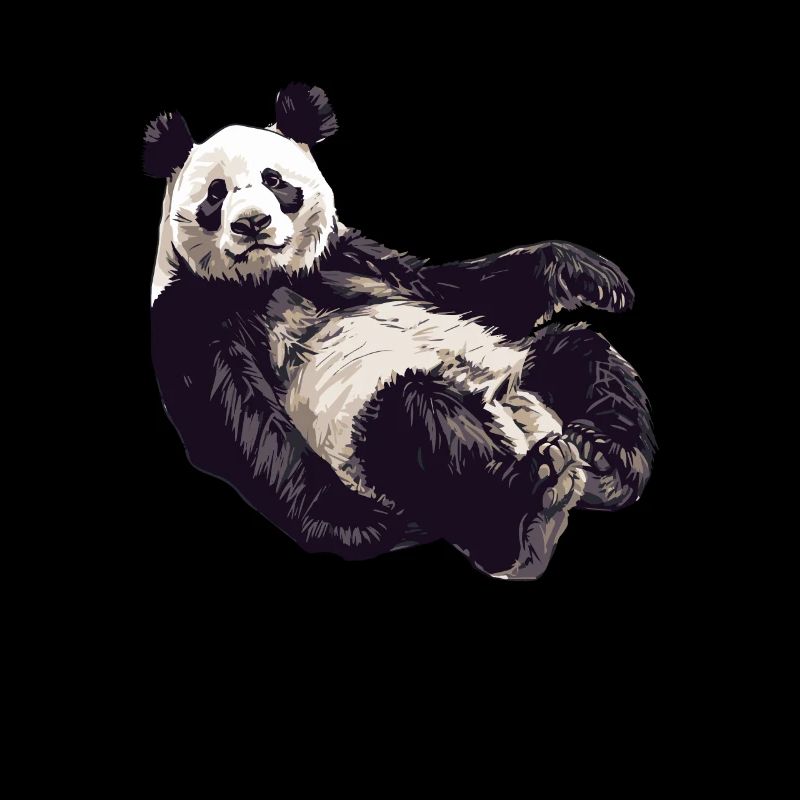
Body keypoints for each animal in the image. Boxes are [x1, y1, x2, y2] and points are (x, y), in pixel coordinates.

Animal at [146, 83, 655, 579]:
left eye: (274, 180)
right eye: (216, 195)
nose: (252, 223)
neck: (270, 279)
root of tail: (523, 426)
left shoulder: (350, 255)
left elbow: (461, 289)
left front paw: (591, 274)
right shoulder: (189, 312)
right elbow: (245, 421)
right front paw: (362, 527)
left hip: (521, 374)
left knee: (583, 355)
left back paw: (606, 460)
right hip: (366, 440)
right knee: (419, 418)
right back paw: (529, 510)